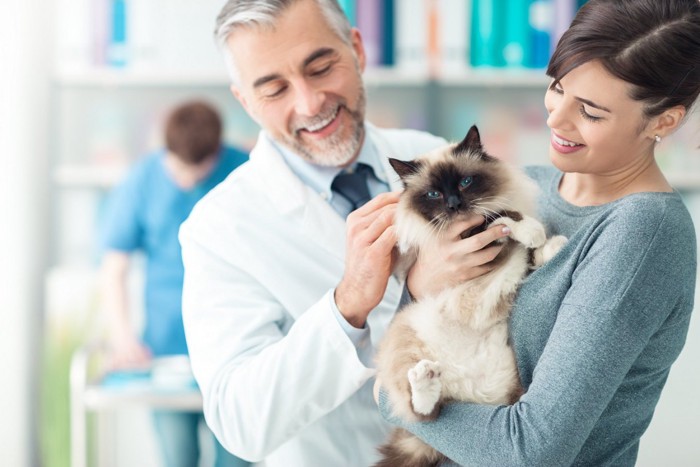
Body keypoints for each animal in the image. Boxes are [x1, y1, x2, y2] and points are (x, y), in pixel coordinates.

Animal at [374, 125, 568, 467]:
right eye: (434, 194)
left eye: (465, 182)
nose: (454, 205)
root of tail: (467, 392)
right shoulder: (464, 235)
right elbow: (497, 219)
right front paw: (531, 232)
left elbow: (527, 250)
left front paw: (552, 245)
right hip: (404, 340)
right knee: (422, 411)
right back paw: (425, 377)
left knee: (435, 410)